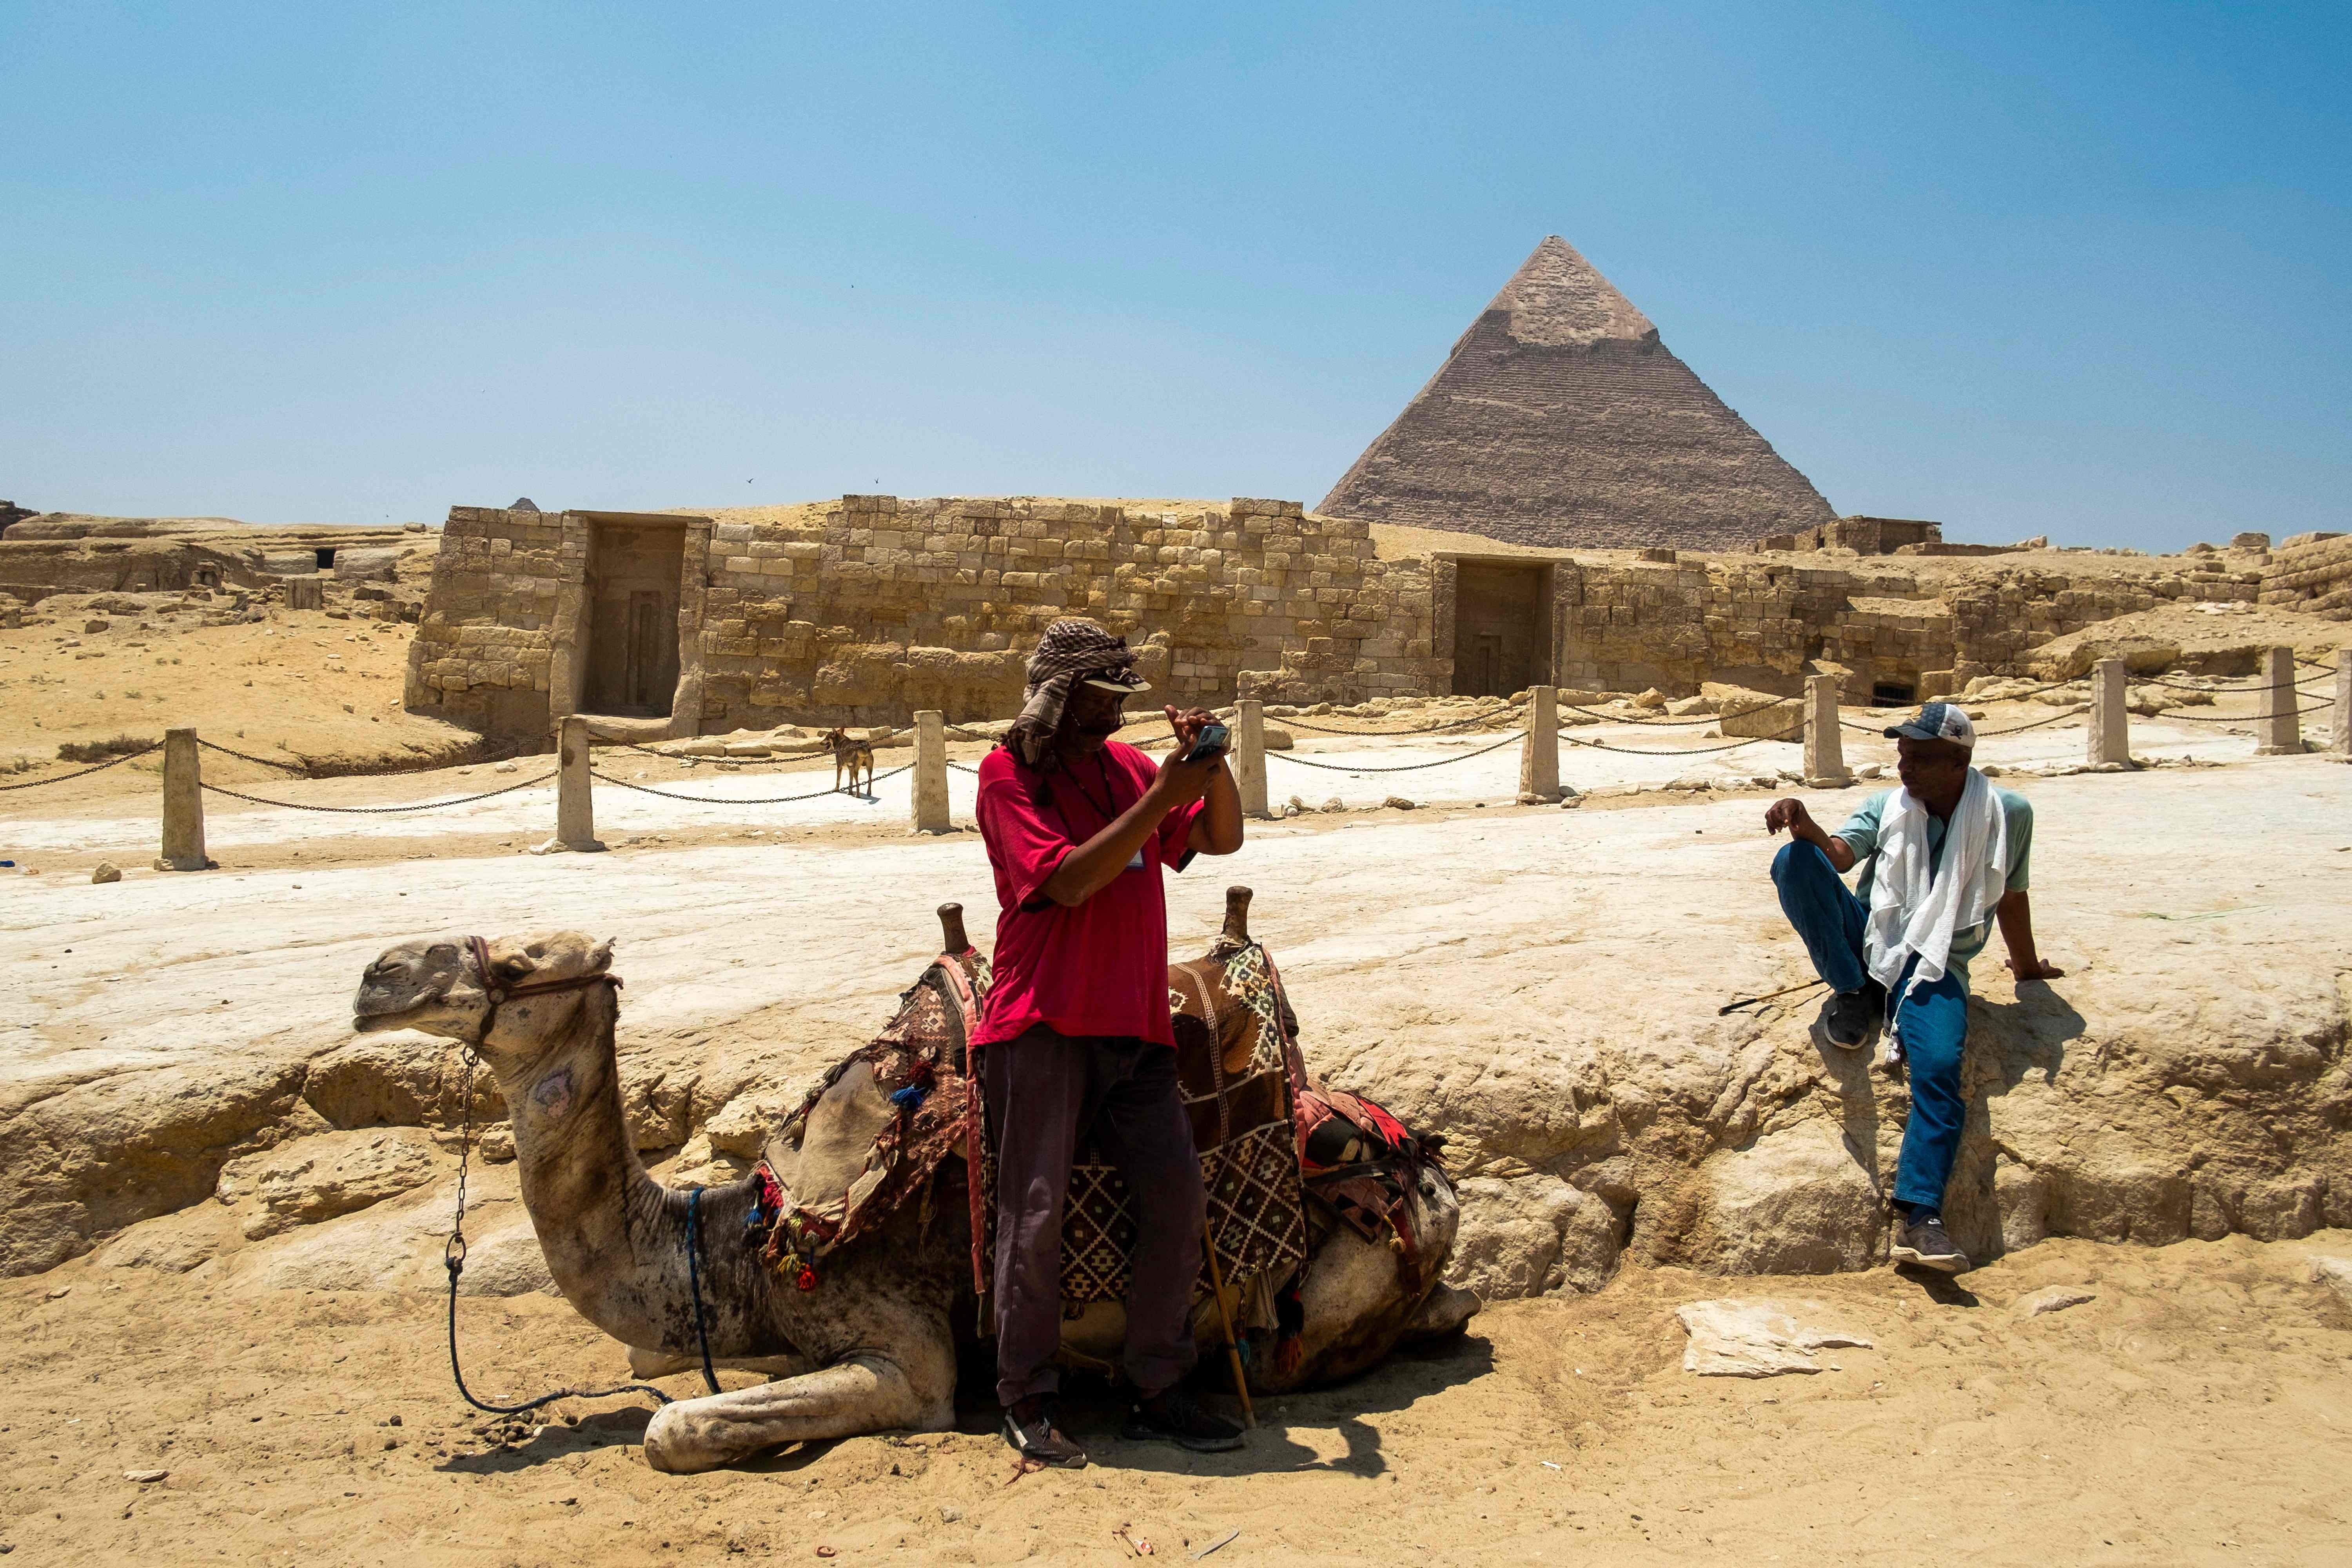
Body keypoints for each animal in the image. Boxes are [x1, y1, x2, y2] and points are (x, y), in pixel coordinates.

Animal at [350, 893, 1477, 1476]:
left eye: (526, 958)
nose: (375, 976)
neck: (742, 1237)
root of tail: (1432, 1179)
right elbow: (652, 1361)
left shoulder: (907, 1355)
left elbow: (675, 1427)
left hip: (1318, 1301)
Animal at [823, 729, 870, 799]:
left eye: (827, 738)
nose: (820, 743)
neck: (840, 742)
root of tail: (863, 746)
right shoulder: (850, 768)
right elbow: (851, 782)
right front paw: (850, 792)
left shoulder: (839, 767)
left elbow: (838, 780)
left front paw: (836, 789)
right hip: (869, 769)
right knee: (870, 780)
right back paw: (869, 793)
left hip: (856, 771)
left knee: (858, 784)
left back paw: (858, 795)